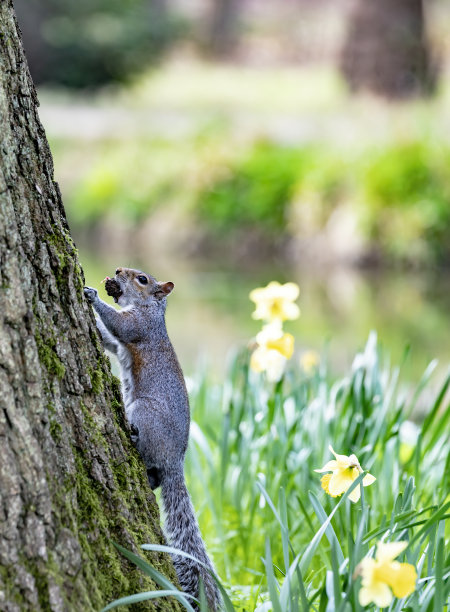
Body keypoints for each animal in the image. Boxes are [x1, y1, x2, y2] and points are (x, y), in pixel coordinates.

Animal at [84, 268, 221, 612]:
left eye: (143, 279)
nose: (117, 272)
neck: (151, 310)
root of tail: (176, 461)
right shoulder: (123, 339)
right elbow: (110, 339)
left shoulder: (140, 327)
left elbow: (119, 326)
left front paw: (91, 295)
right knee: (156, 477)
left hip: (144, 411)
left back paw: (133, 436)